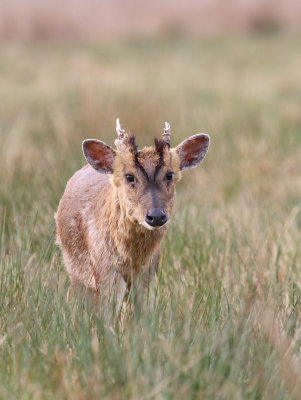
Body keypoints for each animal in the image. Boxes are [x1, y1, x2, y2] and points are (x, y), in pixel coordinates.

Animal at [55, 119, 209, 304]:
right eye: (129, 176)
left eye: (170, 175)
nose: (156, 216)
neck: (132, 259)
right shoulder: (105, 272)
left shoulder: (147, 274)